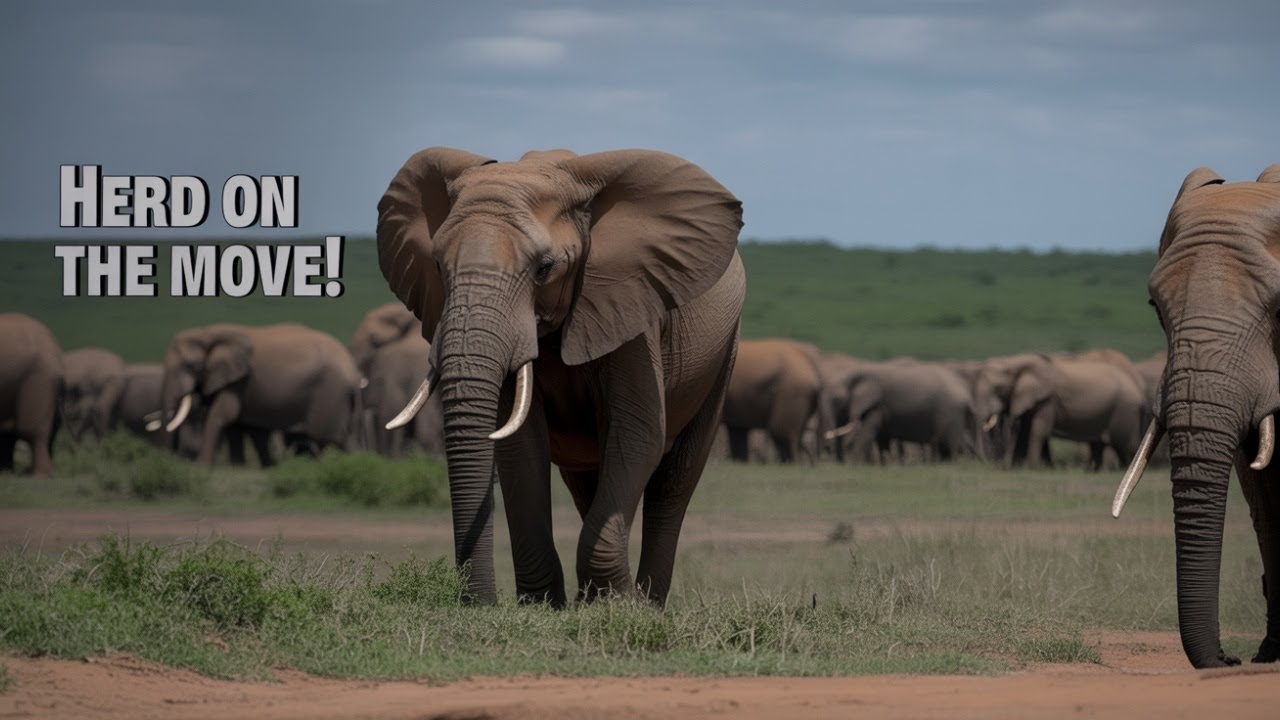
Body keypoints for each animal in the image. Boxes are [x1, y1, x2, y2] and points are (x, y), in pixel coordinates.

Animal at [157, 323, 361, 467]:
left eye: (190, 365)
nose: (171, 460)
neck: (207, 332)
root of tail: (352, 369)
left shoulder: (238, 381)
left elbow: (222, 416)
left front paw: (201, 467)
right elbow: (242, 426)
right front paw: (243, 466)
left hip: (329, 393)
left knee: (331, 437)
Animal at [375, 146, 745, 606]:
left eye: (544, 268)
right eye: (439, 267)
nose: (478, 601)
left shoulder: (630, 307)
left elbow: (637, 433)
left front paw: (617, 604)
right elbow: (520, 444)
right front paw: (546, 605)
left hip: (724, 351)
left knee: (674, 480)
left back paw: (647, 603)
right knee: (590, 482)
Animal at [825, 359, 976, 462]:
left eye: (837, 400)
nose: (840, 463)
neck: (854, 374)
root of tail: (967, 395)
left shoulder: (877, 405)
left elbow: (867, 433)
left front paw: (854, 463)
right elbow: (882, 439)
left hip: (951, 414)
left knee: (949, 446)